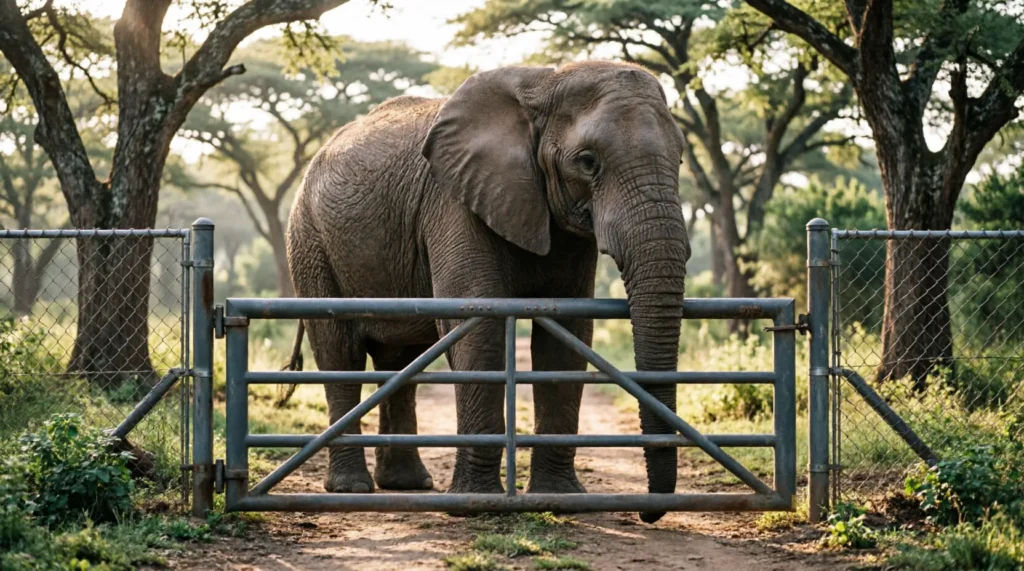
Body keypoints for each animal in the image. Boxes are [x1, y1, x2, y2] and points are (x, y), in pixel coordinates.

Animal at [285, 61, 691, 523]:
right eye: (588, 163)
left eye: (680, 157)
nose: (647, 512)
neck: (546, 81)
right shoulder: (454, 202)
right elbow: (479, 328)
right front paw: (475, 505)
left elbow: (566, 339)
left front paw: (560, 500)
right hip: (309, 241)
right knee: (340, 352)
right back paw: (351, 489)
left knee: (401, 361)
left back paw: (407, 485)